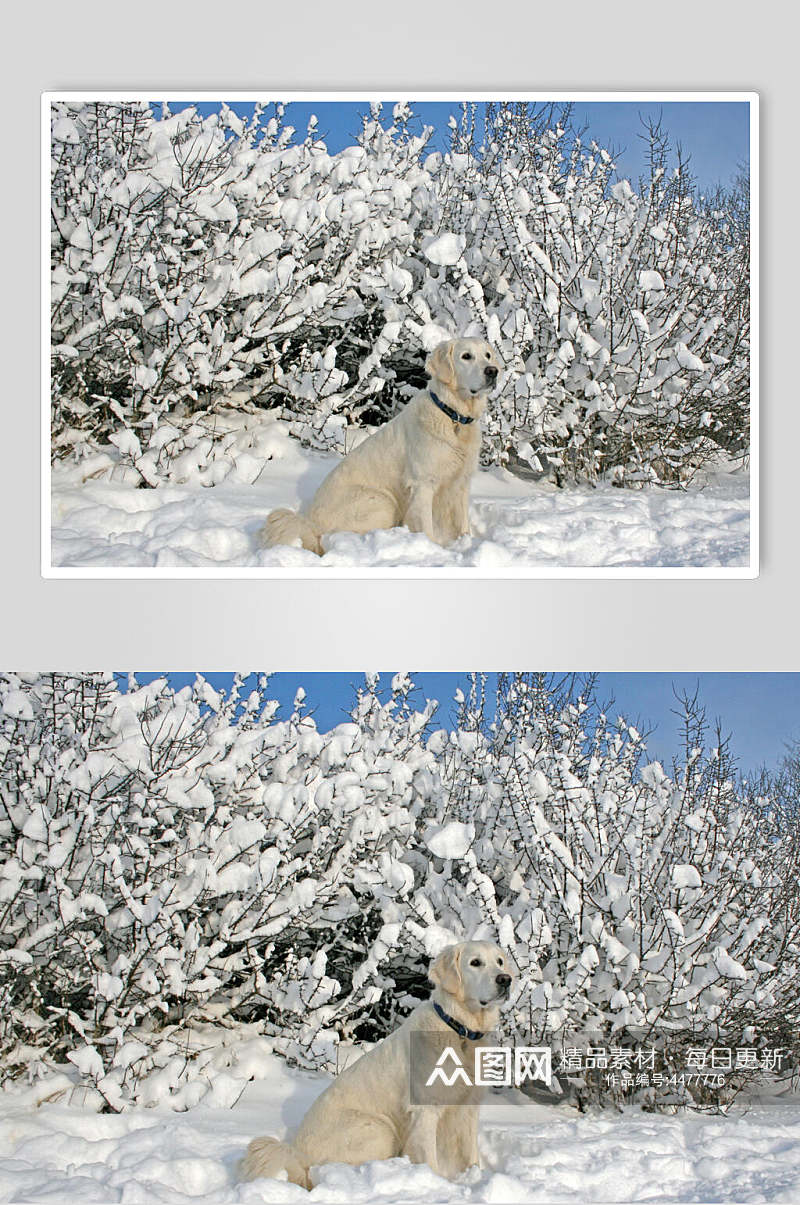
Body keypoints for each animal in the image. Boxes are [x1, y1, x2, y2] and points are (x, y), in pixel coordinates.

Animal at [238, 939, 513, 1185]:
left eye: (499, 961)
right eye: (475, 962)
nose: (505, 980)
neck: (460, 1031)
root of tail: (298, 1155)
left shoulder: (468, 1106)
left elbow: (471, 1155)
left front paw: (476, 1176)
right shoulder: (425, 1110)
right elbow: (429, 1157)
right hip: (379, 1128)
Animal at [259, 339, 503, 554]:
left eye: (488, 355)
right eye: (466, 356)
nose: (493, 371)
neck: (453, 416)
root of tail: (310, 523)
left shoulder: (460, 482)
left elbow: (463, 524)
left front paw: (467, 542)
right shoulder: (423, 484)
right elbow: (426, 526)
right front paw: (434, 549)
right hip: (381, 501)